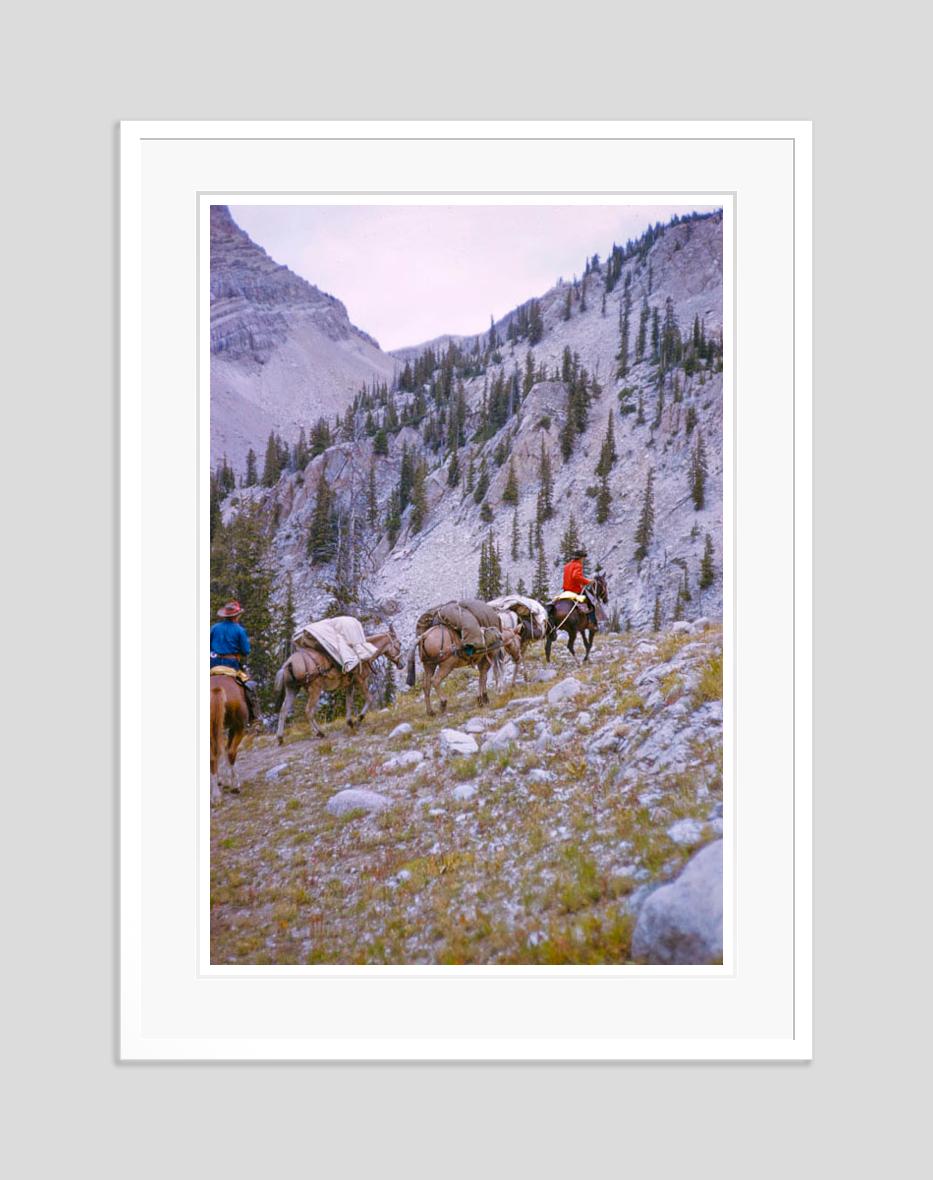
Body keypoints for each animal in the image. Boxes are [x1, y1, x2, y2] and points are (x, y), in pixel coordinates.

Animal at [209, 674, 250, 802]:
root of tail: (216, 688)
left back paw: (216, 795)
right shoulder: (232, 728)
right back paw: (235, 785)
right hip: (239, 727)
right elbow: (228, 751)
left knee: (213, 757)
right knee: (231, 752)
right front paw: (228, 781)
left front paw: (222, 780)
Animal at [270, 623, 401, 741]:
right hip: (315, 689)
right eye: (399, 643)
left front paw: (350, 722)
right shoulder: (361, 680)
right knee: (308, 711)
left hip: (292, 688)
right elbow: (369, 698)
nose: (402, 664)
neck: (365, 651)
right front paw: (358, 720)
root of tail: (289, 663)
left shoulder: (350, 684)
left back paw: (280, 738)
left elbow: (348, 702)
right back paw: (319, 733)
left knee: (284, 710)